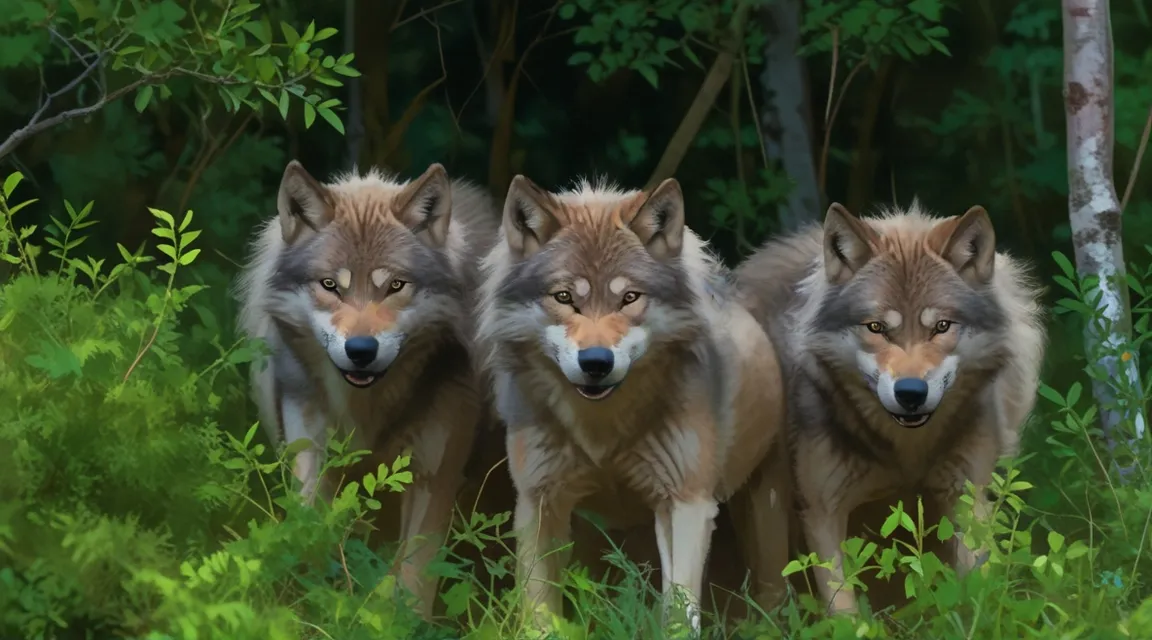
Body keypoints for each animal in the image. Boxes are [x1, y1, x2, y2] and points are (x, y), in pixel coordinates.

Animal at [233, 160, 499, 621]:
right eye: (330, 285)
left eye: (395, 286)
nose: (360, 351)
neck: (366, 410)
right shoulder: (311, 455)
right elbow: (312, 534)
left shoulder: (434, 477)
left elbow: (414, 577)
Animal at [474, 174, 792, 630]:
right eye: (565, 297)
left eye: (629, 298)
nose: (595, 362)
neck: (603, 428)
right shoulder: (538, 502)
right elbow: (540, 612)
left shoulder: (687, 503)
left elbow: (679, 612)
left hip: (763, 520)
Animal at [732, 201, 1050, 616]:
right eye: (876, 327)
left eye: (941, 326)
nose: (911, 392)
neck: (906, 451)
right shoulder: (822, 510)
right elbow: (843, 608)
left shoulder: (967, 496)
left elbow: (977, 589)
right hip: (770, 506)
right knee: (769, 590)